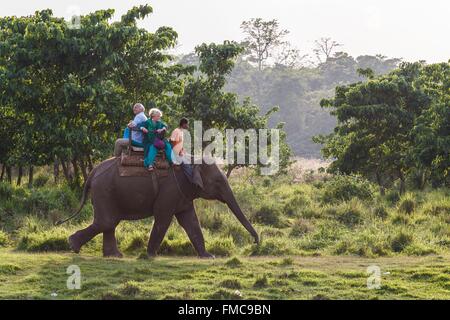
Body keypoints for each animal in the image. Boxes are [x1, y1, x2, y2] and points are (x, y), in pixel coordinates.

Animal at [61, 156, 258, 258]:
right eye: (217, 182)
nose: (256, 243)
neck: (190, 159)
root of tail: (92, 172)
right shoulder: (170, 190)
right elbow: (163, 218)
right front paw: (149, 256)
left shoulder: (183, 194)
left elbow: (191, 222)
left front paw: (208, 257)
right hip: (104, 190)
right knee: (107, 221)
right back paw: (73, 245)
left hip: (106, 192)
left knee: (109, 222)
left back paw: (114, 256)